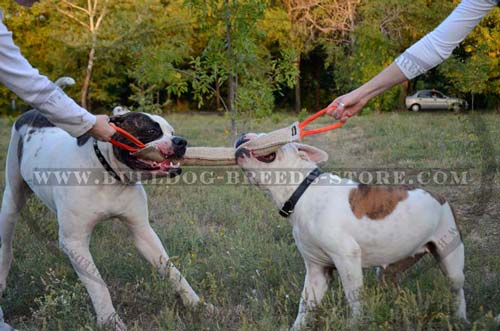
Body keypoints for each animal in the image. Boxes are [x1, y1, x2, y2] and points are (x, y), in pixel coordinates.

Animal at [0, 107, 205, 330]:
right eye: (151, 131)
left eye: (172, 131)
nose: (181, 141)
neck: (108, 172)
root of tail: (32, 111)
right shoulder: (74, 242)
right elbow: (97, 284)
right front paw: (110, 320)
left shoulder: (143, 232)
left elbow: (171, 270)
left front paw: (196, 303)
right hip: (11, 201)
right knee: (6, 244)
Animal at [234, 134, 464, 330]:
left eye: (265, 134)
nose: (243, 135)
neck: (302, 190)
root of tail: (441, 197)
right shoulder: (317, 270)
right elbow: (305, 307)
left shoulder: (346, 257)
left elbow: (354, 298)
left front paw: (355, 324)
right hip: (391, 268)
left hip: (451, 260)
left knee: (457, 290)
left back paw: (462, 319)